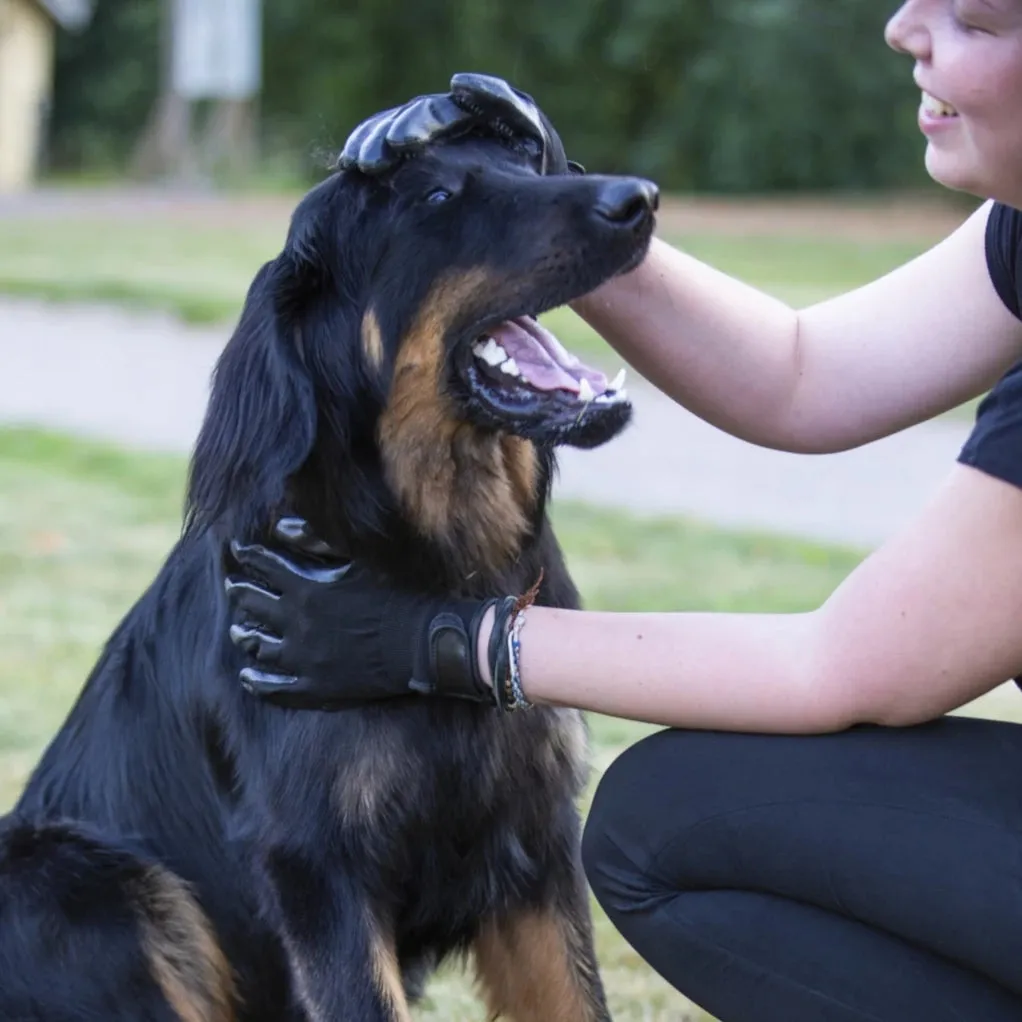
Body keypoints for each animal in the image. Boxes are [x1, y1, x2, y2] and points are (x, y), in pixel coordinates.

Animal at [0, 125, 654, 1013]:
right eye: (435, 198)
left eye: (530, 162)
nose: (640, 200)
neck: (440, 570)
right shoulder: (317, 868)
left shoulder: (536, 848)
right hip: (86, 881)